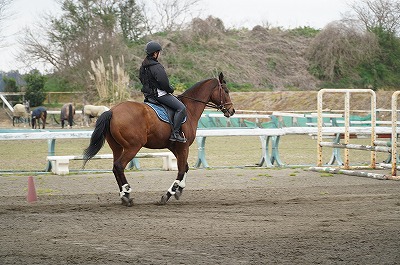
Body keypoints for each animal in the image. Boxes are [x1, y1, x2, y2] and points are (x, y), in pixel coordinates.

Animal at [83, 72, 234, 206]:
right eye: (226, 91)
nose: (232, 111)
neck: (189, 109)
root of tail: (112, 111)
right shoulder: (183, 147)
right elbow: (181, 170)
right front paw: (169, 194)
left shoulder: (175, 147)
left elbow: (185, 167)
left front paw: (179, 189)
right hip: (132, 147)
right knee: (119, 166)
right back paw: (127, 193)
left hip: (118, 148)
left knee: (115, 168)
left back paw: (124, 195)